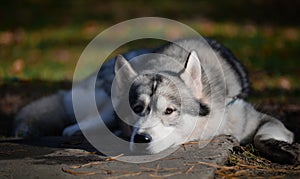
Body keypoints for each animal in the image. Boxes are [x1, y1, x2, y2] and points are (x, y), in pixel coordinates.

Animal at [14, 38, 300, 164]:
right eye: (136, 109)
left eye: (170, 111)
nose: (141, 139)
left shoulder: (258, 119)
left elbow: (262, 136)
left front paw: (281, 148)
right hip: (102, 100)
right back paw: (78, 128)